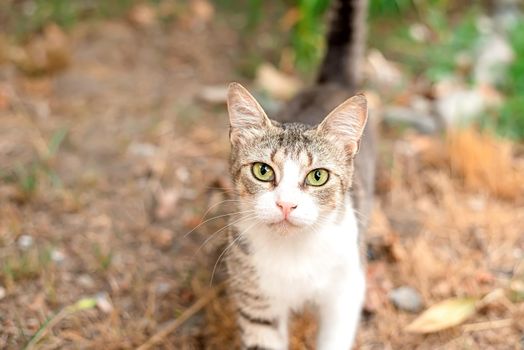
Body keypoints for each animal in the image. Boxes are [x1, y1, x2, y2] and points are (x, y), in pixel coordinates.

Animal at [223, 1, 374, 348]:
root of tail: (330, 83)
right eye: (262, 170)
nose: (286, 205)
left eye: (318, 176)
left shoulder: (346, 290)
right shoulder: (256, 300)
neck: (293, 251)